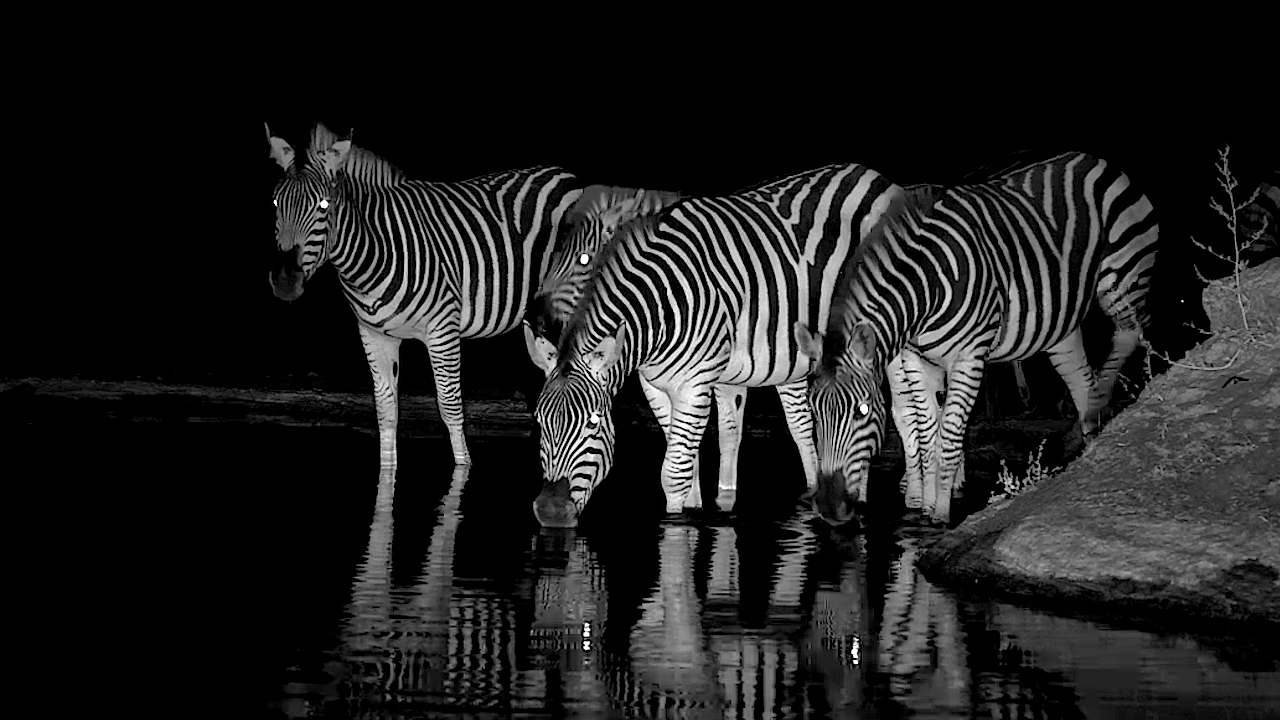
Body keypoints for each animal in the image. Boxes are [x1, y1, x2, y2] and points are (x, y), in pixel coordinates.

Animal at [266, 122, 586, 466]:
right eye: (275, 204)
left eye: (324, 206)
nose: (285, 281)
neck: (373, 254)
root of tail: (567, 176)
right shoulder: (374, 334)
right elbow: (386, 410)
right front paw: (387, 470)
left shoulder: (442, 329)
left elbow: (450, 407)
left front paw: (463, 468)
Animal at [524, 163, 902, 527]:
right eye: (539, 421)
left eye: (593, 422)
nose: (551, 512)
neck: (659, 307)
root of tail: (869, 173)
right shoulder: (655, 386)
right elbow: (686, 464)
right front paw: (696, 511)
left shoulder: (694, 383)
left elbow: (673, 473)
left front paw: (676, 525)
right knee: (802, 426)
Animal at [796, 152, 1160, 525]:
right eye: (813, 409)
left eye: (863, 411)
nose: (829, 508)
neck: (924, 290)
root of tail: (1095, 160)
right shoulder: (916, 359)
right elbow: (927, 435)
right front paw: (927, 506)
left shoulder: (969, 356)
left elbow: (949, 436)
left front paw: (941, 513)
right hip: (1060, 321)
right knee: (1079, 376)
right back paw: (1089, 426)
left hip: (1122, 277)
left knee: (1132, 331)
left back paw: (1103, 397)